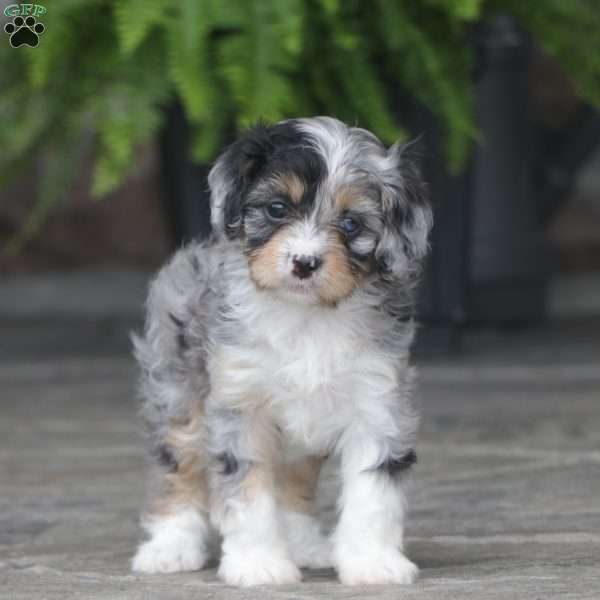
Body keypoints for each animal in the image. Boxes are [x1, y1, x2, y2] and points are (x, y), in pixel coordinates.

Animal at [131, 117, 432, 584]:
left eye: (350, 224)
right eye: (277, 209)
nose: (304, 263)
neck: (306, 316)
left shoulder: (378, 403)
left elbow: (373, 493)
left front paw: (373, 563)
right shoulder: (240, 405)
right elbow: (248, 495)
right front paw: (259, 565)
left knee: (293, 483)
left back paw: (304, 544)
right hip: (179, 395)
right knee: (178, 469)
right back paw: (170, 547)